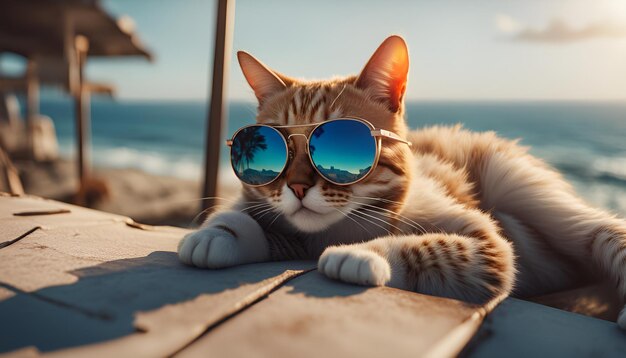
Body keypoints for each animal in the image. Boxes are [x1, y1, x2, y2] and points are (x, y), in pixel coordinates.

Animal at [176, 35, 624, 328]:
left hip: (529, 193)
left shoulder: (488, 246)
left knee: (606, 235)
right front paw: (220, 231)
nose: (298, 188)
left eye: (338, 140)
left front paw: (361, 254)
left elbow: (427, 247)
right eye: (275, 145)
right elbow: (250, 219)